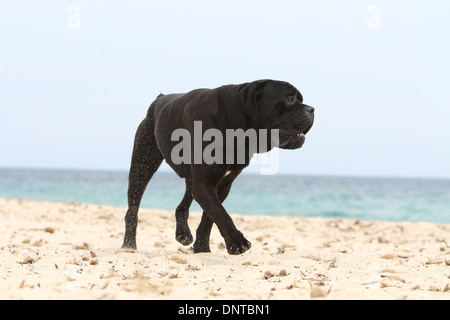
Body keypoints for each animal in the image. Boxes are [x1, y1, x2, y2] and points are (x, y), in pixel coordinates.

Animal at [121, 80, 314, 255]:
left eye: (300, 99)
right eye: (289, 99)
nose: (311, 109)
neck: (233, 125)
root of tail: (159, 99)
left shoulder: (221, 184)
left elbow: (209, 218)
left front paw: (202, 249)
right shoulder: (205, 184)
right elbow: (220, 213)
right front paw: (237, 242)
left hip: (191, 179)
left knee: (182, 206)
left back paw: (183, 234)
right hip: (142, 165)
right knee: (133, 208)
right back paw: (129, 245)